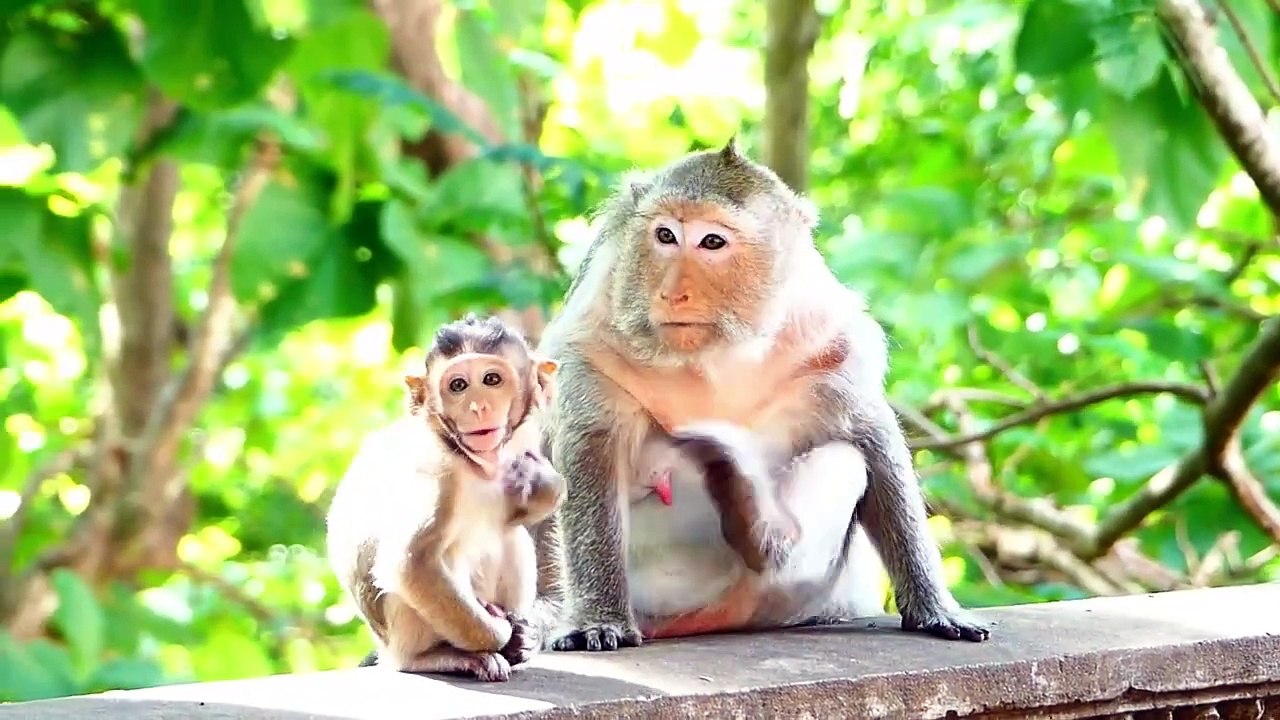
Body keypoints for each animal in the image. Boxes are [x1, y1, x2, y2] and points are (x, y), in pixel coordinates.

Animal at [326, 314, 566, 682]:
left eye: (491, 379)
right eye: (458, 386)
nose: (478, 407)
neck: (467, 459)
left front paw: (538, 481)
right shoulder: (434, 470)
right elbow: (411, 565)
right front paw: (502, 633)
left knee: (510, 536)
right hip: (406, 635)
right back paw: (444, 656)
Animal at [533, 138, 990, 652]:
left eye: (712, 242)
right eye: (665, 235)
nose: (672, 294)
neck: (714, 359)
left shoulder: (829, 344)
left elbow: (871, 440)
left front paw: (934, 606)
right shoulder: (590, 342)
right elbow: (591, 449)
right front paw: (598, 618)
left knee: (843, 461)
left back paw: (757, 526)